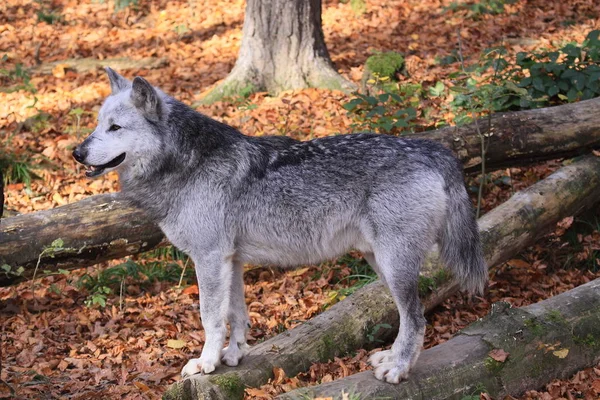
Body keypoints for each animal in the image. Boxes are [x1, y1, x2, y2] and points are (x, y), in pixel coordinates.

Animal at [71, 69, 488, 384]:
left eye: (115, 127)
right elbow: (237, 316)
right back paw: (388, 357)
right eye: (97, 125)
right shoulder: (231, 261)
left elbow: (211, 318)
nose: (76, 152)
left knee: (416, 319)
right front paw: (233, 356)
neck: (187, 164)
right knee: (407, 319)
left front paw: (205, 364)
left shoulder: (209, 259)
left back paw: (398, 370)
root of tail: (434, 149)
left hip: (393, 265)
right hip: (380, 263)